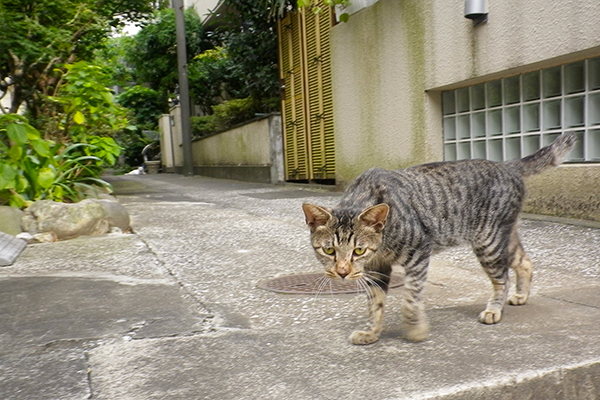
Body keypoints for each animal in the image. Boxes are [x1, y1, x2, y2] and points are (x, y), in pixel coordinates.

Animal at [304, 132, 576, 344]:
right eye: (329, 251)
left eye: (358, 251)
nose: (342, 272)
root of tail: (506, 164)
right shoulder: (376, 268)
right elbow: (375, 303)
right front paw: (371, 333)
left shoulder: (418, 253)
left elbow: (410, 299)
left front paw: (415, 329)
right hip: (502, 237)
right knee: (524, 261)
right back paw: (521, 295)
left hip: (488, 242)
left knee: (502, 278)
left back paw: (493, 309)